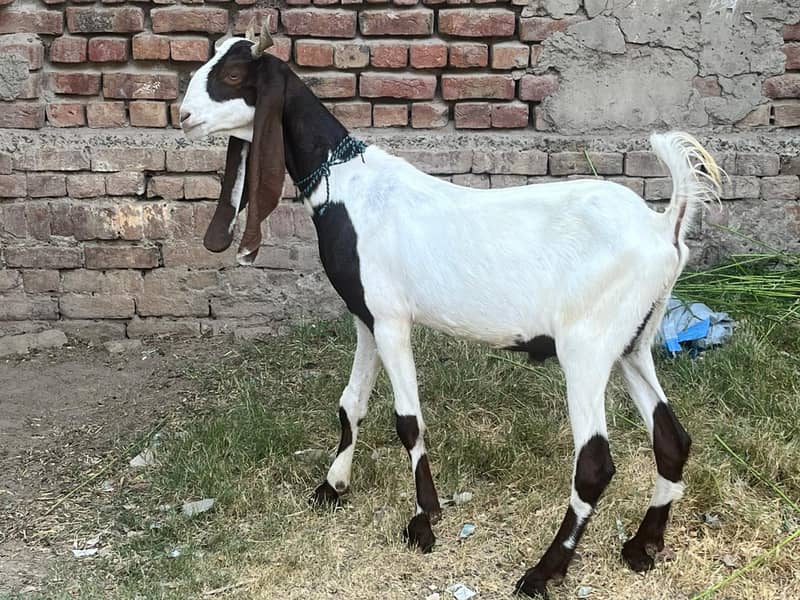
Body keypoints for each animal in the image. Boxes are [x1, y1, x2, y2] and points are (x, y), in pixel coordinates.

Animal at [179, 23, 723, 598]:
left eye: (233, 75)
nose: (184, 115)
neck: (350, 187)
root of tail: (664, 226)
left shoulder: (392, 320)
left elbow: (407, 421)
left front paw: (423, 521)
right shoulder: (366, 318)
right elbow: (351, 405)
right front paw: (332, 486)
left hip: (587, 347)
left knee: (594, 464)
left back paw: (544, 570)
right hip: (633, 343)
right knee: (671, 439)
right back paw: (644, 546)